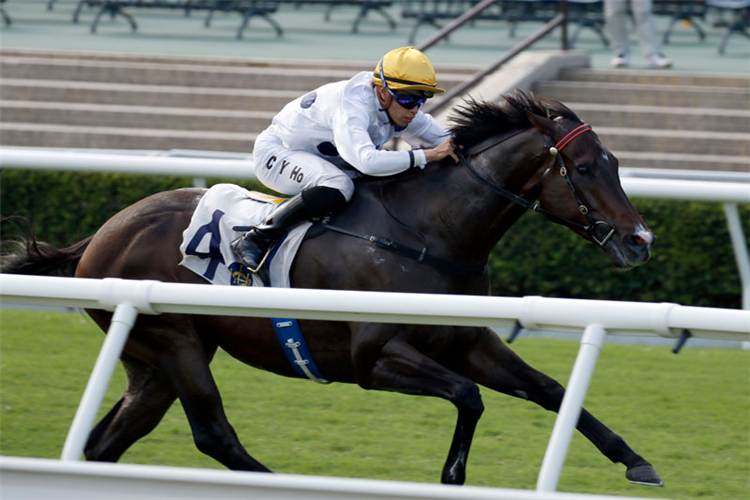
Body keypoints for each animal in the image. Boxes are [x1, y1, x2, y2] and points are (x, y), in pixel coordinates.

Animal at [0, 89, 660, 484]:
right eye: (584, 168)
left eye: (615, 163)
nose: (641, 240)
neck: (428, 232)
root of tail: (105, 231)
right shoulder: (374, 357)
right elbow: (469, 398)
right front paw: (451, 477)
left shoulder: (466, 340)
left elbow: (550, 389)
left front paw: (636, 461)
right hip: (175, 342)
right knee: (214, 434)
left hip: (154, 358)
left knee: (110, 441)